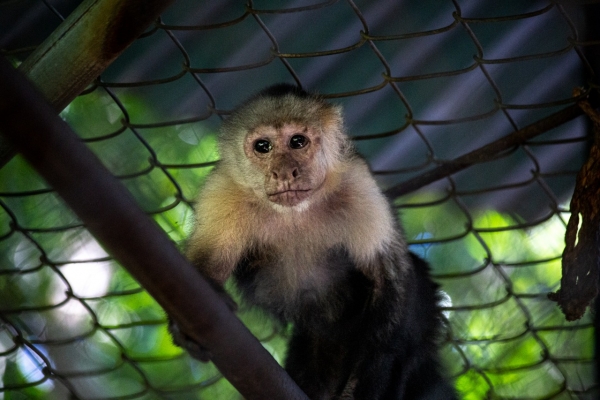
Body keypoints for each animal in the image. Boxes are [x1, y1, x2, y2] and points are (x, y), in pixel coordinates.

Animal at [171, 84, 458, 400]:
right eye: (263, 146)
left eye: (298, 141)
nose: (284, 172)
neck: (295, 212)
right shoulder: (223, 191)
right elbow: (206, 265)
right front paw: (186, 325)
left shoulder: (358, 185)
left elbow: (386, 280)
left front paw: (361, 385)